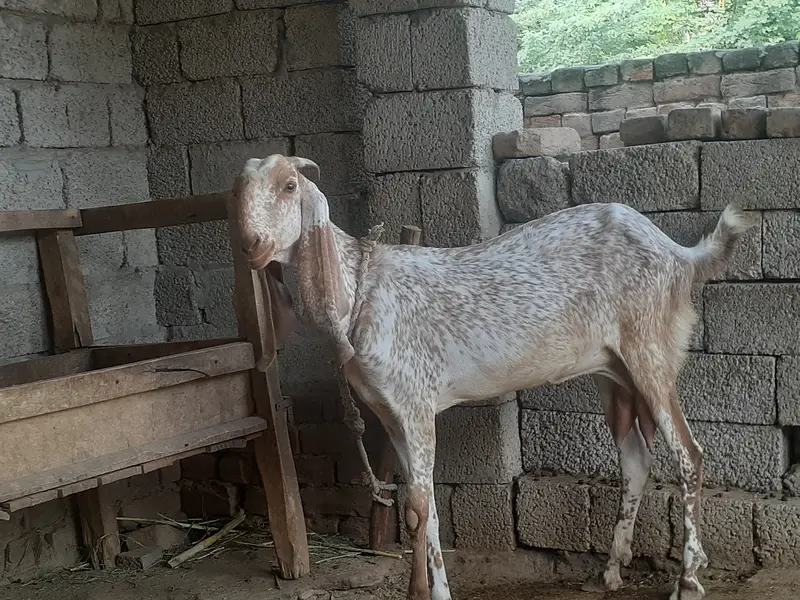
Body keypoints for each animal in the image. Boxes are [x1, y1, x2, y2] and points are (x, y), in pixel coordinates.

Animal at [230, 154, 753, 600]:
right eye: (238, 192)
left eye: (289, 185)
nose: (251, 245)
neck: (362, 286)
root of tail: (679, 255)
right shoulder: (391, 415)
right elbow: (420, 507)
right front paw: (426, 590)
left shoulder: (415, 404)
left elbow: (419, 508)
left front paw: (428, 593)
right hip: (615, 370)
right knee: (636, 460)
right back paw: (609, 572)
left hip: (651, 351)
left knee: (689, 455)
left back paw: (688, 580)